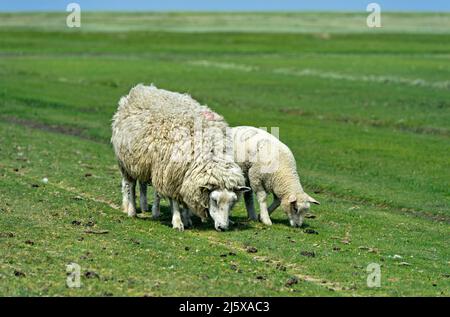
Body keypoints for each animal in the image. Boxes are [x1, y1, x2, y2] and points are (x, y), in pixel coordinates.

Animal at [110, 83, 248, 232]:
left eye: (233, 202)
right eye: (214, 200)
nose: (223, 227)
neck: (208, 149)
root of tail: (141, 88)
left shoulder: (184, 177)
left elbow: (185, 202)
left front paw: (187, 219)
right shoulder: (173, 175)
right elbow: (175, 201)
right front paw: (177, 222)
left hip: (145, 163)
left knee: (145, 186)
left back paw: (149, 209)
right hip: (127, 162)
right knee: (130, 185)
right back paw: (131, 211)